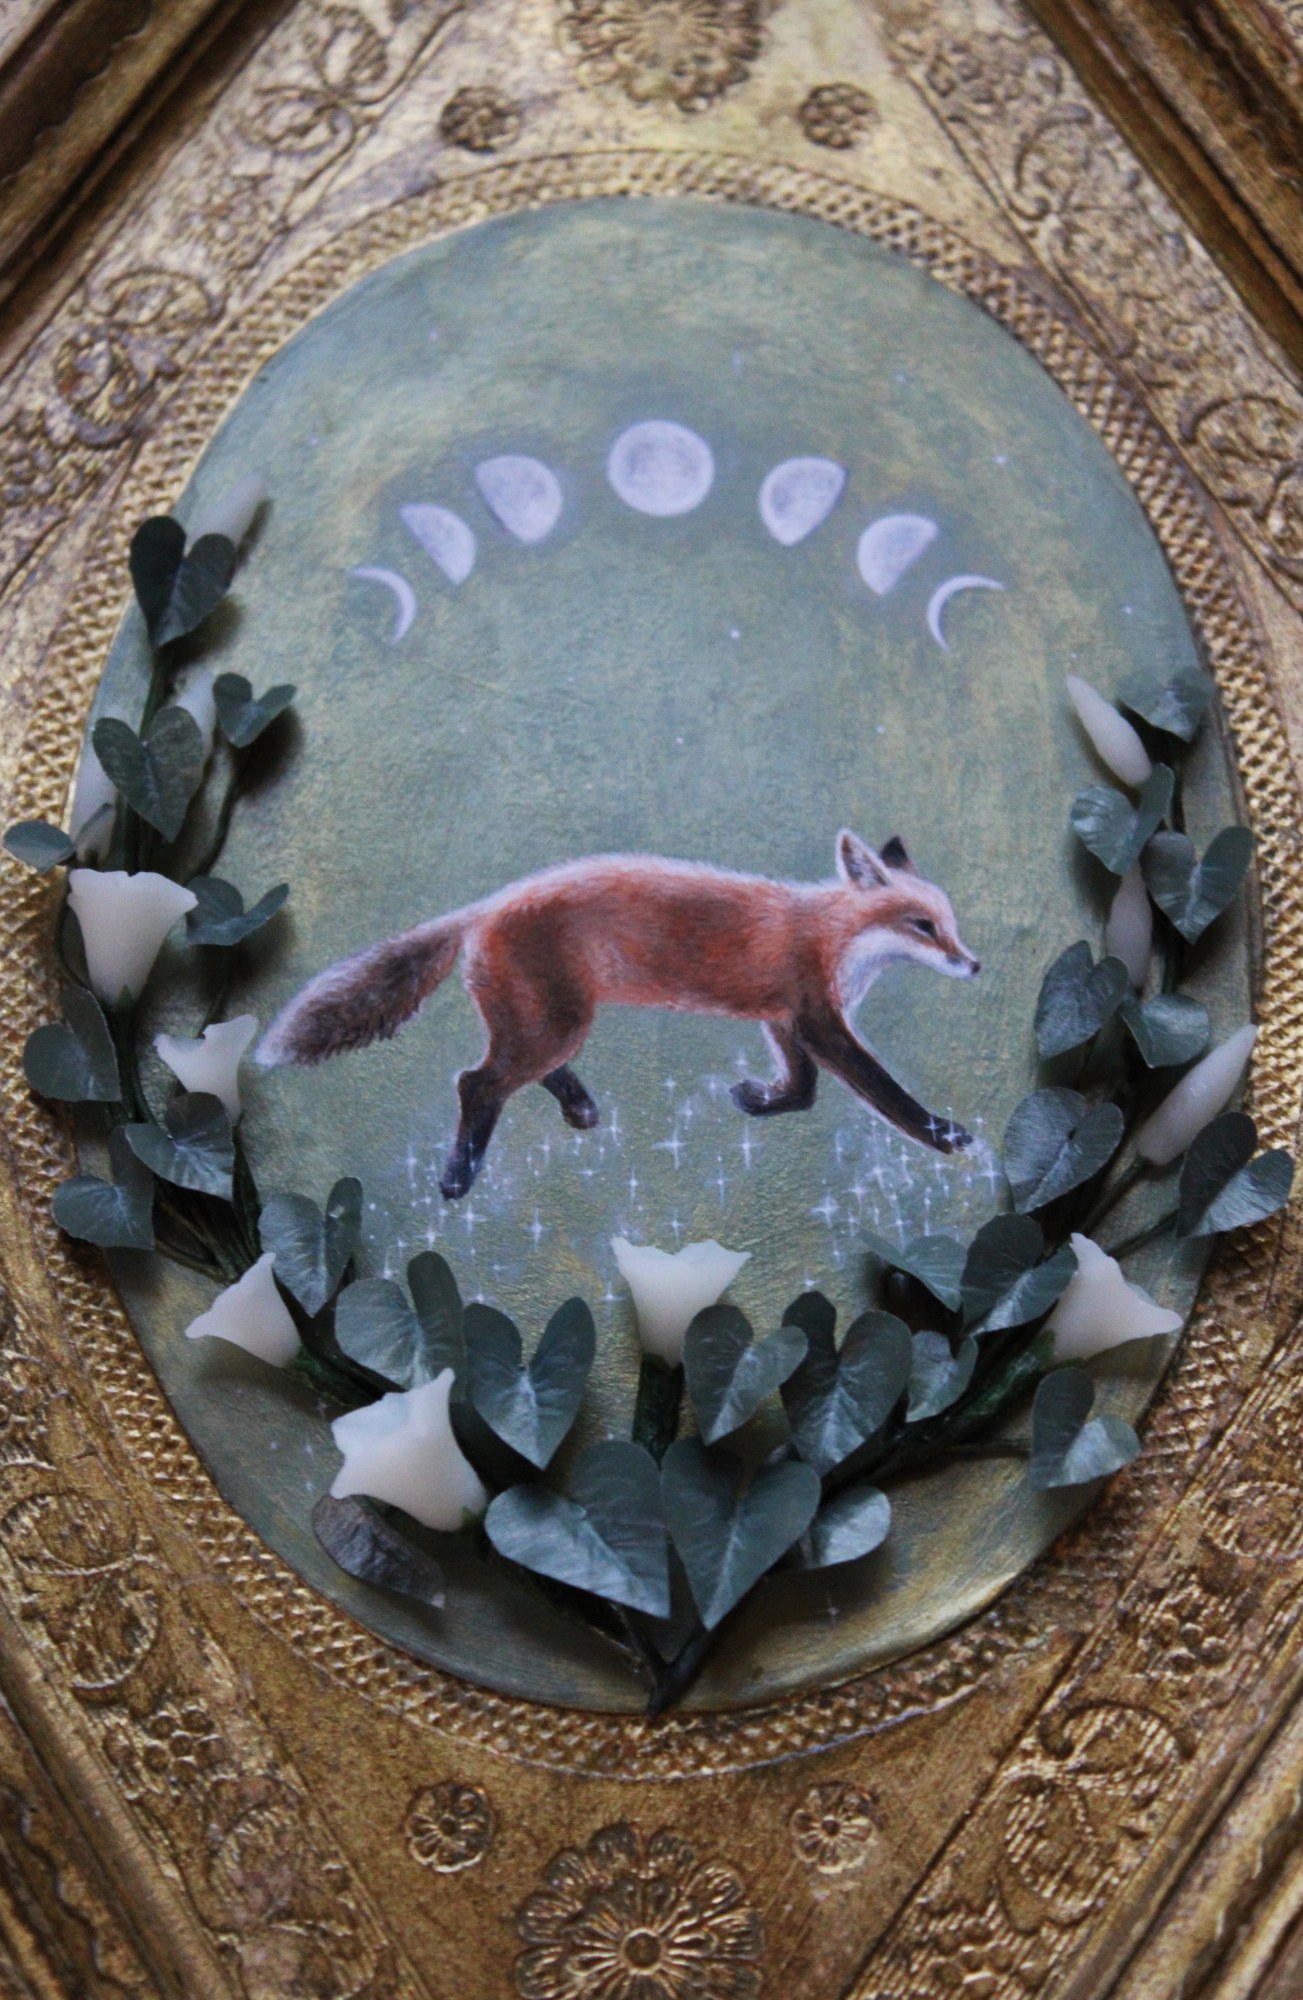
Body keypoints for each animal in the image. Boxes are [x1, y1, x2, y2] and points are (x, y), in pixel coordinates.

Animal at [257, 829, 980, 1201]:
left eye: (950, 925)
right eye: (922, 927)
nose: (974, 966)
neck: (836, 940)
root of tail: (484, 906)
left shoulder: (785, 1019)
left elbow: (801, 1090)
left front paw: (757, 1100)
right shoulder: (821, 1019)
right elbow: (885, 1094)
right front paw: (945, 1136)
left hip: (550, 1023)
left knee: (513, 1073)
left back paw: (578, 1109)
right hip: (553, 1025)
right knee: (476, 1083)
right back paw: (458, 1178)